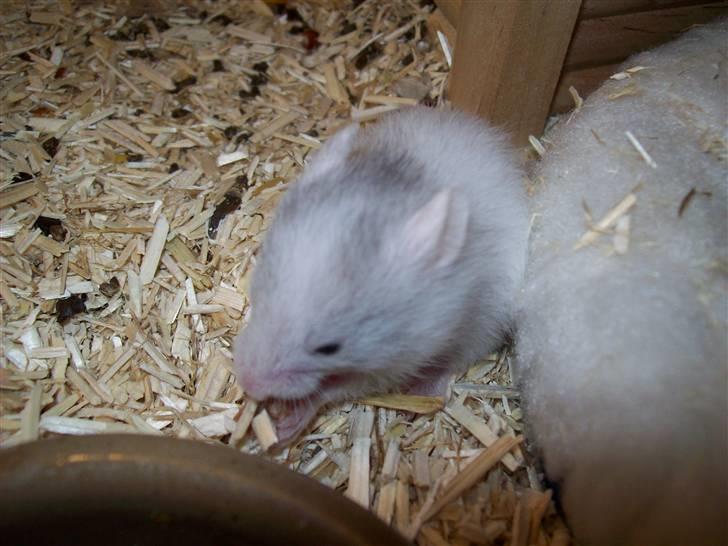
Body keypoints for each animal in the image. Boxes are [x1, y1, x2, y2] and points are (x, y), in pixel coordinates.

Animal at [233, 107, 529, 445]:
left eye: (329, 348)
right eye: (256, 299)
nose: (247, 383)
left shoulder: (396, 361)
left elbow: (331, 390)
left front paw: (285, 426)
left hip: (482, 327)